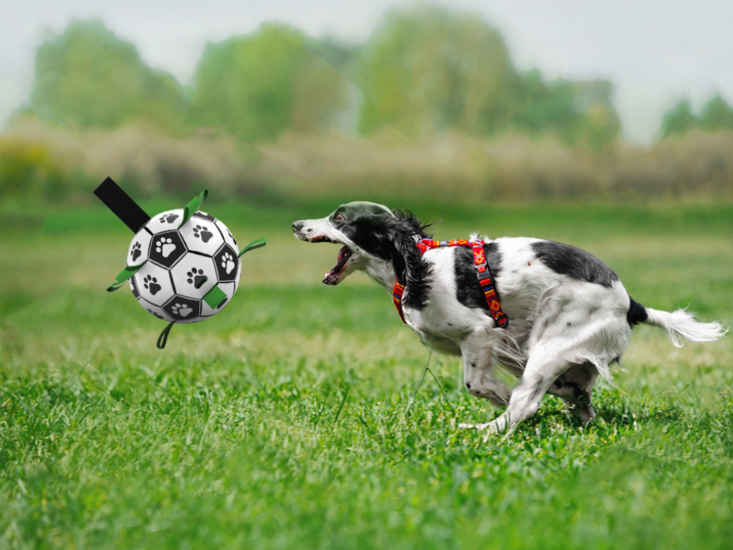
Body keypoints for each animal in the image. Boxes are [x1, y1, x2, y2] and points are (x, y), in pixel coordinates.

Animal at [294, 203, 728, 436]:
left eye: (339, 218)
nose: (296, 224)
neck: (415, 265)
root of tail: (631, 304)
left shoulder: (481, 333)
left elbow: (479, 385)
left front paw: (499, 396)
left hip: (549, 347)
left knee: (525, 405)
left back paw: (482, 432)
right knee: (580, 400)